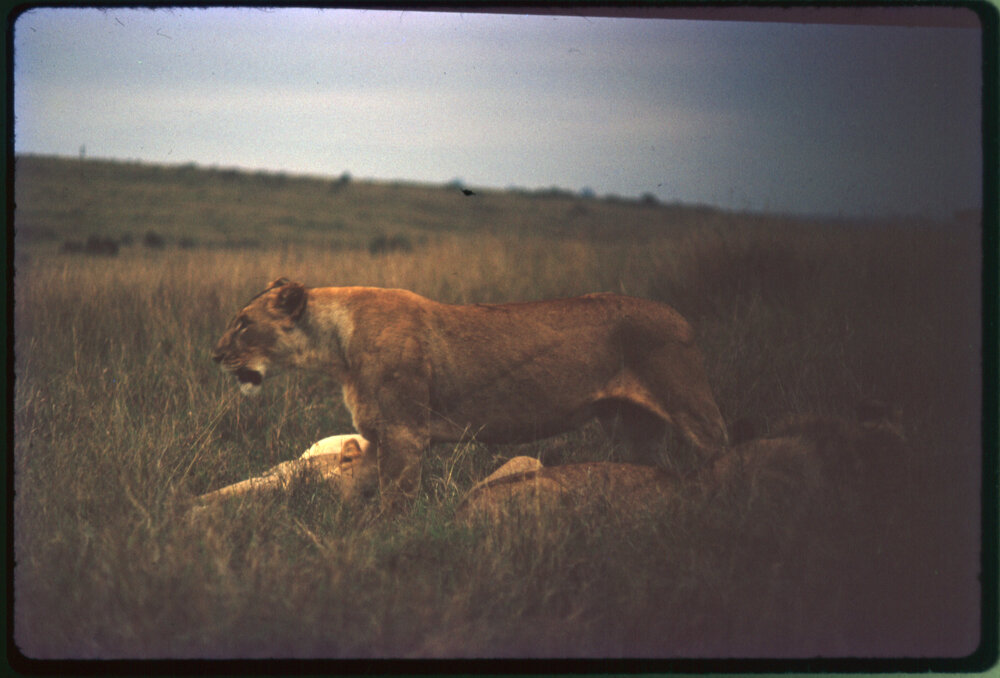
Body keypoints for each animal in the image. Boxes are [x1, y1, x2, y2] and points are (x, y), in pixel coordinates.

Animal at [212, 278, 728, 509]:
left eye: (243, 325)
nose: (215, 355)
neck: (335, 344)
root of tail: (682, 318)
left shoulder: (405, 434)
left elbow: (395, 502)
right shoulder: (380, 436)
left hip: (689, 405)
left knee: (721, 450)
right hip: (632, 427)